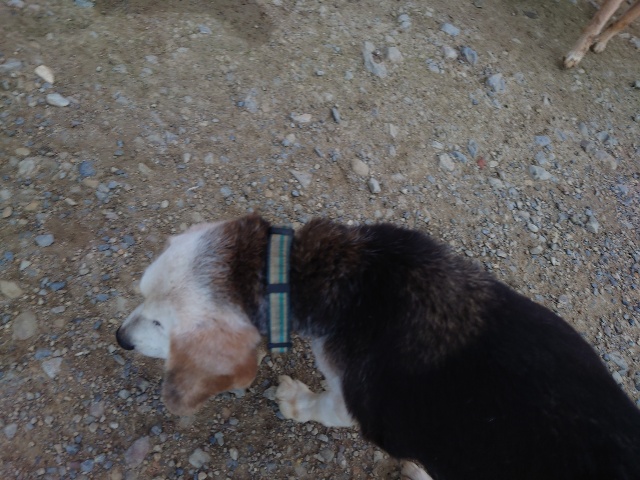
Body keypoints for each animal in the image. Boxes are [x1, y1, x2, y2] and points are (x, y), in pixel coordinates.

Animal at [116, 215, 640, 480]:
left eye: (162, 325)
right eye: (139, 293)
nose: (121, 339)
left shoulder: (355, 403)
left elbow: (321, 408)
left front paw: (293, 401)